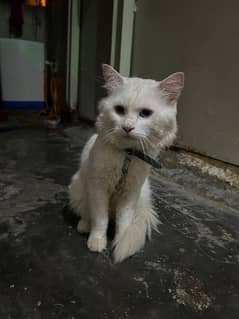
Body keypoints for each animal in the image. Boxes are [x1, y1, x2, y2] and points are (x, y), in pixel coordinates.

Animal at [68, 63, 184, 264]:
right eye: (119, 110)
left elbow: (124, 223)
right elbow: (100, 219)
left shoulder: (130, 193)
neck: (127, 155)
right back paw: (84, 226)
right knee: (87, 214)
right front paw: (97, 241)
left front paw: (120, 240)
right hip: (78, 188)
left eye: (145, 113)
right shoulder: (98, 188)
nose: (127, 127)